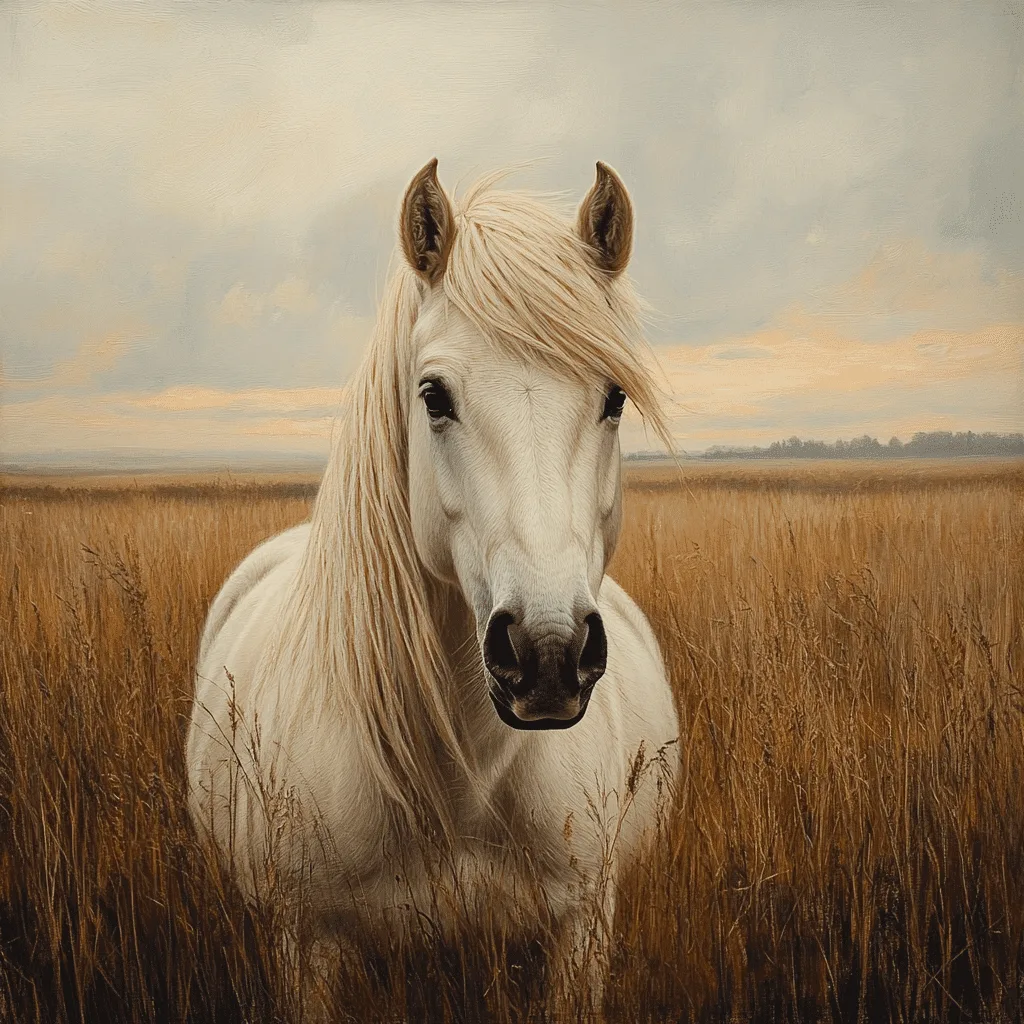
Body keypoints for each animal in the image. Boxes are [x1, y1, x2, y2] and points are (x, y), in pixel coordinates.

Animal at [185, 159, 679, 1016]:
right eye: (434, 396)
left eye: (614, 396)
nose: (548, 653)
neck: (462, 781)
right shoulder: (307, 947)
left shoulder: (580, 933)